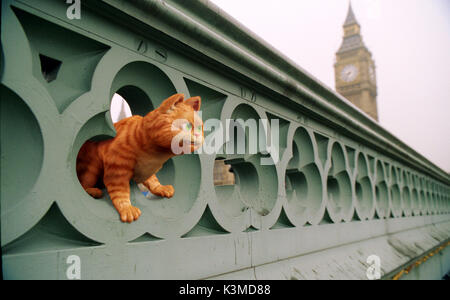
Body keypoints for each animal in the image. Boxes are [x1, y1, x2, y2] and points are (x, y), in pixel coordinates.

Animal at [76, 94, 203, 223]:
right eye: (187, 126)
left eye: (199, 128)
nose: (198, 135)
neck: (156, 154)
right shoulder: (116, 172)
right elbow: (120, 193)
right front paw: (127, 208)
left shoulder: (147, 169)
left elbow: (153, 181)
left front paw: (161, 188)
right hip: (92, 168)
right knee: (84, 183)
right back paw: (93, 191)